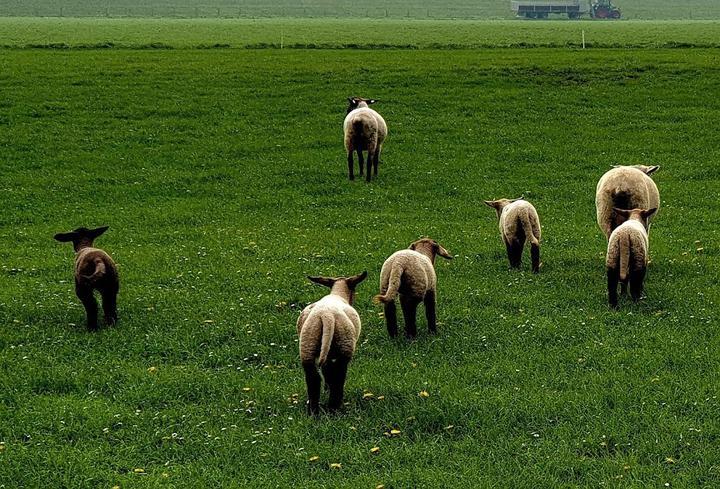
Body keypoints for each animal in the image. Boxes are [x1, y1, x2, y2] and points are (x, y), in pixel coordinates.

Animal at [296, 268, 368, 414]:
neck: (338, 294)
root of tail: (326, 316)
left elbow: (327, 370)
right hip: (345, 345)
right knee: (339, 376)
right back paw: (334, 407)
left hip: (307, 343)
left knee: (313, 378)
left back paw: (314, 412)